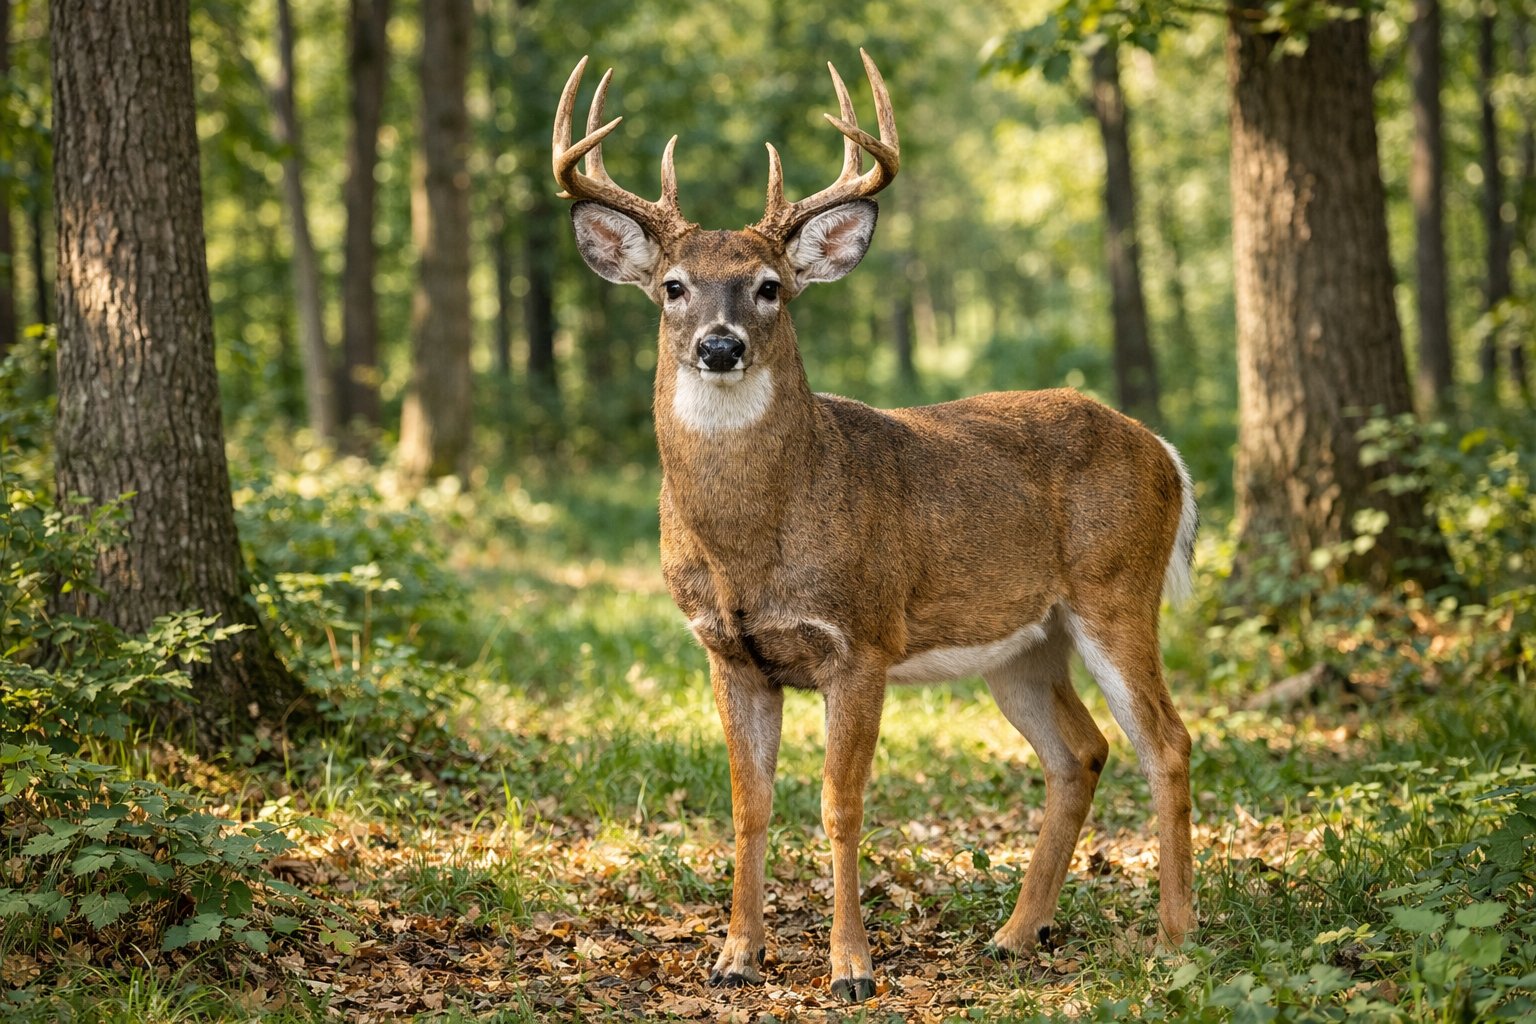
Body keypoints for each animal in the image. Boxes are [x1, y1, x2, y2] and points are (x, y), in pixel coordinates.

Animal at [553, 51, 1199, 1003]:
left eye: (770, 288)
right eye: (672, 287)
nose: (719, 345)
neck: (751, 545)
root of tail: (1165, 453)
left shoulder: (860, 639)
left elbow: (840, 804)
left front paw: (851, 967)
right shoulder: (726, 650)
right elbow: (748, 806)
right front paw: (734, 957)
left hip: (1117, 588)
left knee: (1166, 740)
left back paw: (1173, 939)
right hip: (1023, 641)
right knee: (1079, 751)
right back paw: (1014, 935)